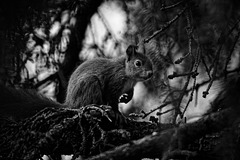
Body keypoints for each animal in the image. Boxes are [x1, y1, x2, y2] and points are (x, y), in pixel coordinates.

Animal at [0, 44, 153, 120]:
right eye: (138, 63)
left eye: (151, 62)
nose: (151, 73)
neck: (130, 77)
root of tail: (70, 103)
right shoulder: (114, 81)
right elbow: (112, 98)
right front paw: (118, 114)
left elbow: (129, 92)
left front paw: (128, 97)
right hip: (90, 84)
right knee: (85, 105)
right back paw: (99, 108)